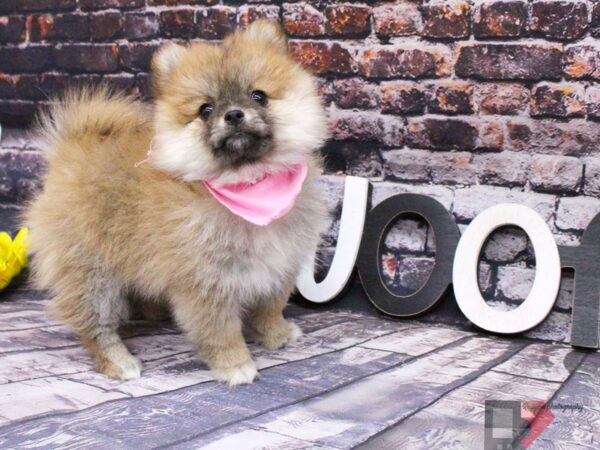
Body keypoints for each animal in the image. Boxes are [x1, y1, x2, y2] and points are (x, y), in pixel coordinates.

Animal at [24, 21, 328, 384]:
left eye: (259, 96)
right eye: (205, 110)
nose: (234, 114)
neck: (249, 184)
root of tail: (70, 149)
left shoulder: (278, 265)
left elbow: (269, 308)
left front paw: (276, 336)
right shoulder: (206, 280)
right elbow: (220, 330)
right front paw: (236, 365)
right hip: (91, 272)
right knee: (95, 323)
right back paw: (119, 362)